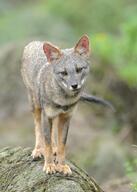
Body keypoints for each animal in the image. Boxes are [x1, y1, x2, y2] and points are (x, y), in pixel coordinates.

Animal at [21, 35, 113, 176]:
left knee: (53, 134)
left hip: (53, 117)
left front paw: (61, 165)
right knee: (38, 128)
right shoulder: (47, 115)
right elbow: (47, 143)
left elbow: (62, 145)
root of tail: (34, 42)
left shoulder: (66, 117)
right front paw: (49, 165)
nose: (74, 85)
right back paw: (37, 150)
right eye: (63, 73)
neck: (63, 101)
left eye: (79, 69)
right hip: (35, 106)